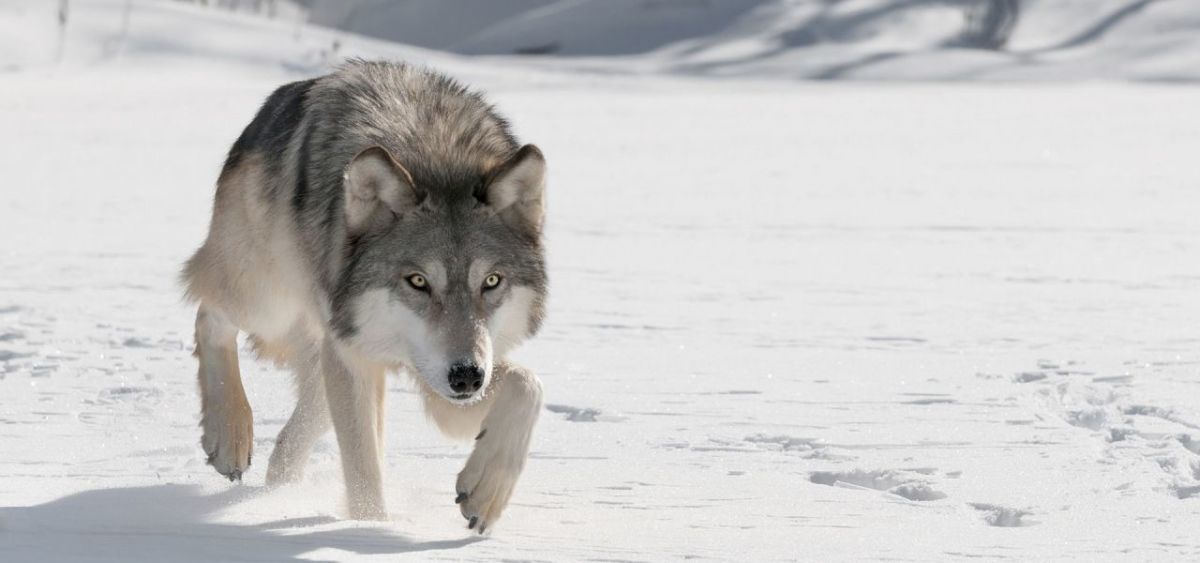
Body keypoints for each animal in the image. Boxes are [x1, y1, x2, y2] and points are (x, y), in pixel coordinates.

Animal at [181, 60, 547, 533]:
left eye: (491, 281)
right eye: (417, 281)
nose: (466, 377)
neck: (436, 155)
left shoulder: (443, 382)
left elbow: (528, 385)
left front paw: (486, 492)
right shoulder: (359, 357)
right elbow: (363, 469)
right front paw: (369, 529)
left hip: (331, 349)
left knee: (299, 427)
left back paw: (278, 491)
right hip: (269, 302)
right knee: (209, 313)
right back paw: (230, 437)